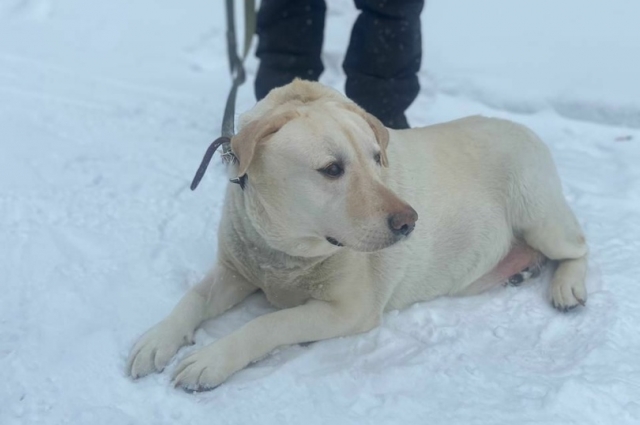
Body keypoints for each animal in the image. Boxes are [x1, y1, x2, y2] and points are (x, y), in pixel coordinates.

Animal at [126, 79, 592, 390]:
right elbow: (193, 297)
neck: (285, 250)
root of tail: (524, 130)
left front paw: (211, 357)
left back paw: (566, 286)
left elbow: (269, 323)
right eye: (332, 168)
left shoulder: (349, 309)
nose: (409, 222)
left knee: (580, 246)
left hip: (539, 214)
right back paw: (520, 269)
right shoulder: (236, 270)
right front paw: (157, 340)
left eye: (376, 158)